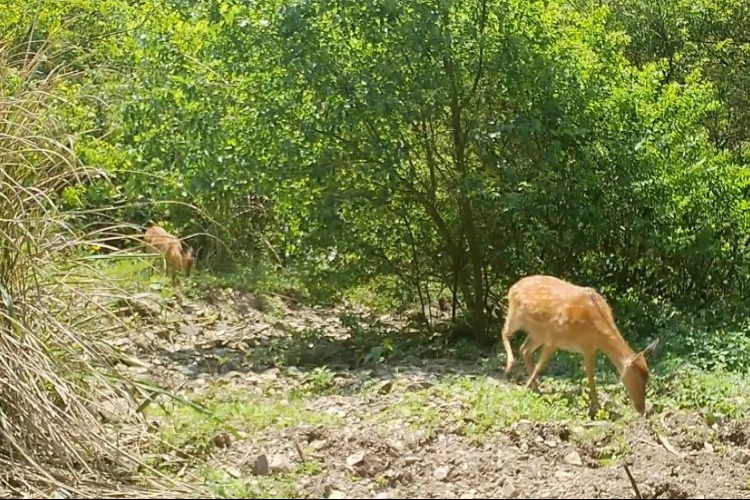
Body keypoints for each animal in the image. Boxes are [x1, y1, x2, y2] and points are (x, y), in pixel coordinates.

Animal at [502, 274, 660, 418]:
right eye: (637, 379)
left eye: (647, 378)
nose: (642, 409)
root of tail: (512, 287)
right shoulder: (554, 337)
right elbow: (540, 366)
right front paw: (522, 390)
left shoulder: (589, 349)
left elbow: (591, 376)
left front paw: (596, 408)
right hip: (516, 316)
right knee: (505, 333)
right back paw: (510, 366)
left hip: (537, 333)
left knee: (524, 349)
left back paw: (535, 388)